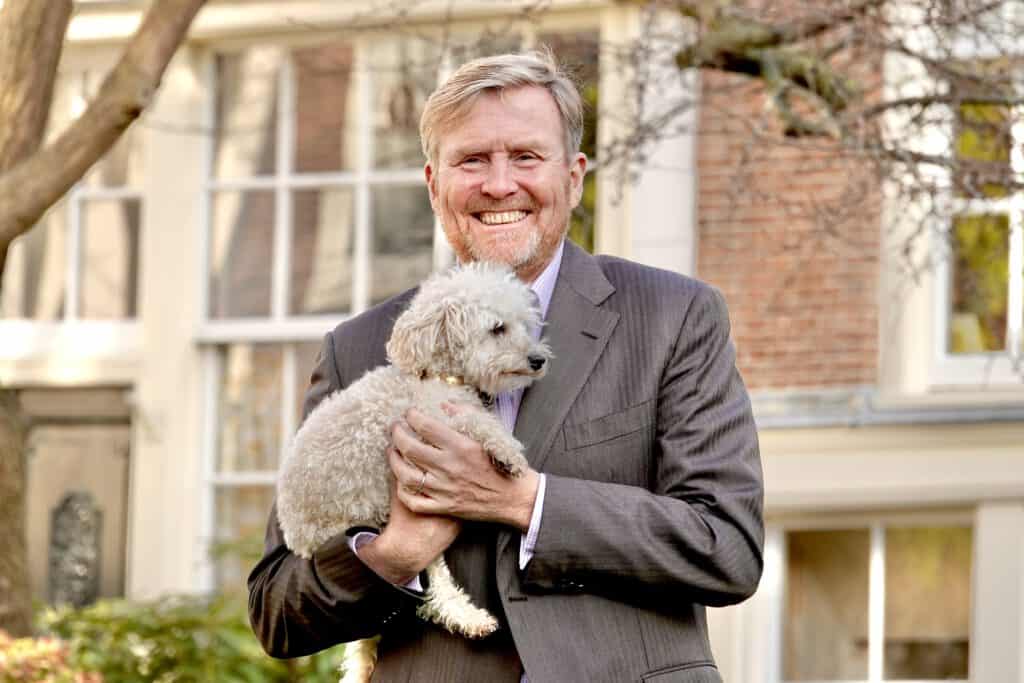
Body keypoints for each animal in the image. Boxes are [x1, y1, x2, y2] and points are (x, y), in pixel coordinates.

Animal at [276, 262, 552, 683]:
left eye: (525, 323)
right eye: (497, 328)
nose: (538, 359)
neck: (439, 375)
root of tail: (299, 540)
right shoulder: (433, 416)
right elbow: (478, 422)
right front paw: (507, 451)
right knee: (432, 587)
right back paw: (468, 617)